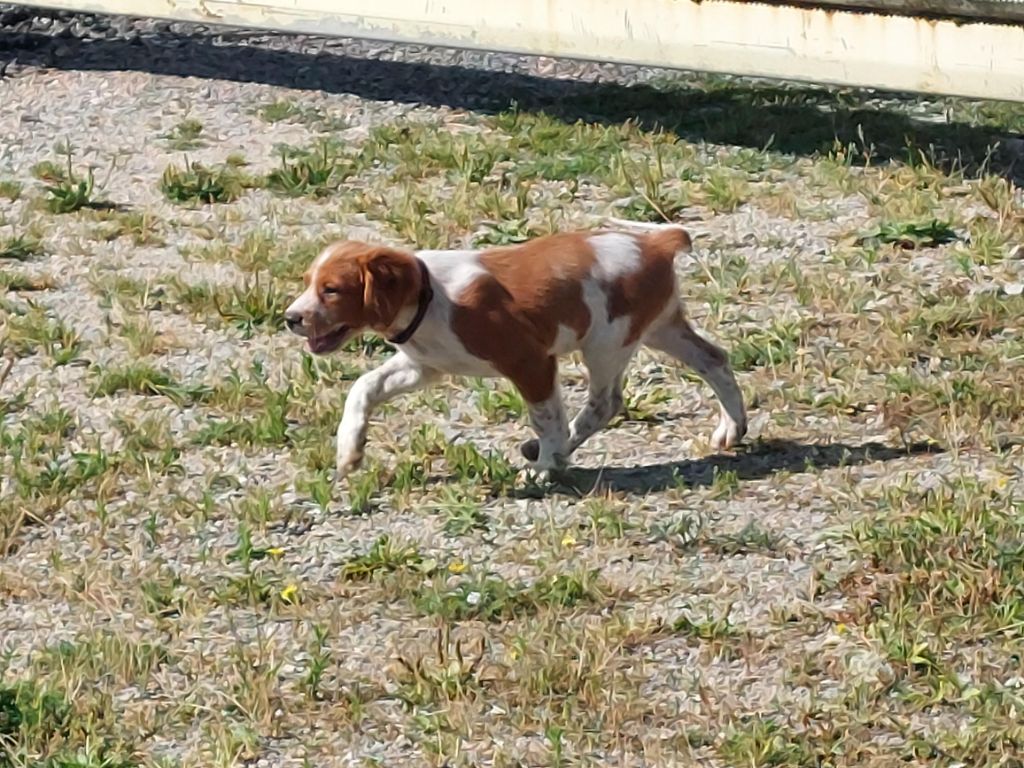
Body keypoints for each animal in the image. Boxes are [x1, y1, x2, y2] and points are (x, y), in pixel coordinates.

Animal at [284, 222, 747, 481]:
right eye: (308, 282)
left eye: (331, 290)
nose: (290, 318)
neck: (432, 299)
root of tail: (656, 243)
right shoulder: (424, 365)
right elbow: (363, 386)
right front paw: (349, 449)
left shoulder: (530, 360)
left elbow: (546, 417)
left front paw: (548, 467)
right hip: (659, 329)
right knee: (715, 360)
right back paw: (733, 427)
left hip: (606, 341)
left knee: (605, 403)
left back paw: (551, 453)